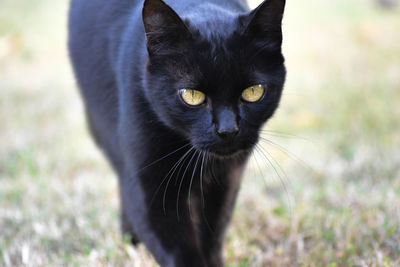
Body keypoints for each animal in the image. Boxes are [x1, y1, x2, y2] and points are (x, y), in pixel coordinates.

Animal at [69, 0, 284, 266]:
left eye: (254, 91)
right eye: (191, 96)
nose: (228, 129)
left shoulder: (226, 179)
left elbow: (212, 235)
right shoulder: (150, 185)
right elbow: (177, 248)